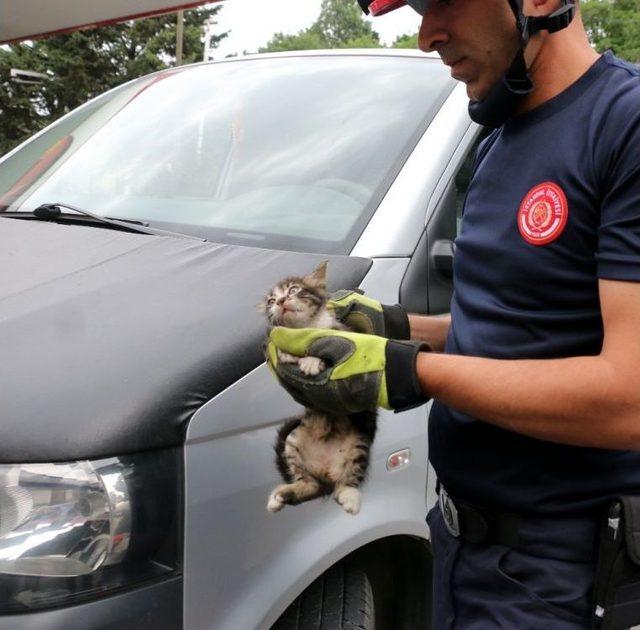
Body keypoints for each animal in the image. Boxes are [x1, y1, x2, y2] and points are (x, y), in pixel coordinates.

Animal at [260, 262, 378, 520]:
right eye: (271, 300)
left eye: (294, 289)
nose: (280, 301)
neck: (304, 329)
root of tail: (326, 472)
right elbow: (282, 347)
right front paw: (288, 354)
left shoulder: (342, 332)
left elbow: (327, 346)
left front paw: (312, 361)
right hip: (293, 441)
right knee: (310, 486)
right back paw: (280, 496)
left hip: (359, 443)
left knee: (345, 483)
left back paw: (350, 498)